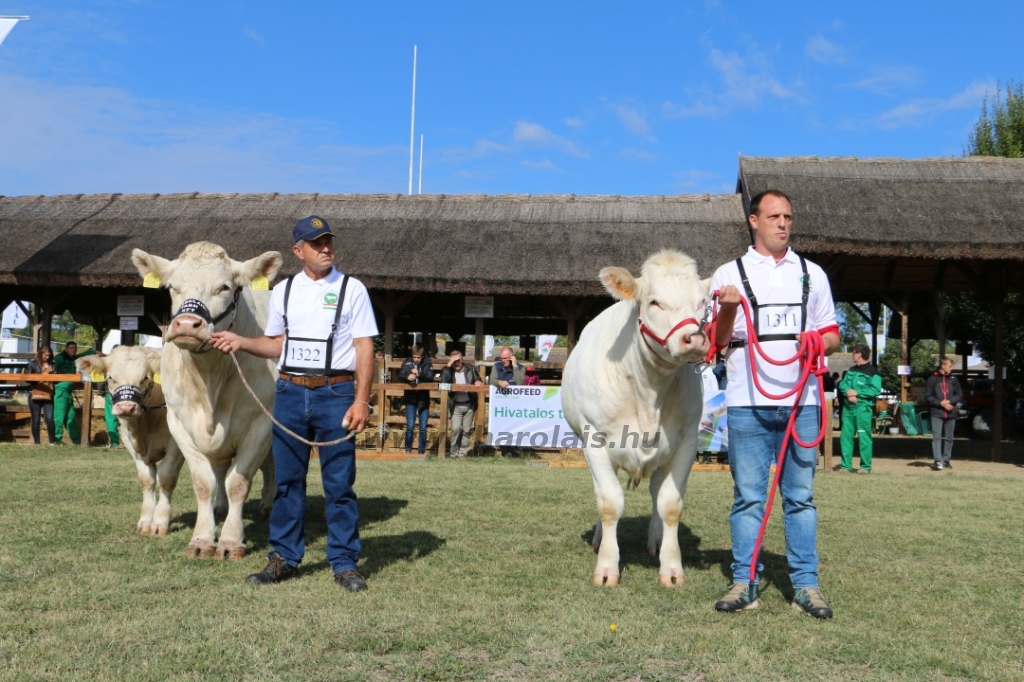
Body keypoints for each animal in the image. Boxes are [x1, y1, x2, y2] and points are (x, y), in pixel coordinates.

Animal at [76, 348, 185, 532]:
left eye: (145, 378)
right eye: (110, 377)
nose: (126, 407)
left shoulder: (177, 446)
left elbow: (166, 478)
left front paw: (160, 522)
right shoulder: (132, 447)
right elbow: (147, 480)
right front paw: (146, 521)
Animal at [134, 241, 284, 557]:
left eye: (224, 287)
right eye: (172, 287)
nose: (186, 324)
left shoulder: (260, 424)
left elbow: (239, 482)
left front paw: (230, 540)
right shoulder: (180, 425)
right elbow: (204, 483)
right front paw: (203, 538)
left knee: (273, 467)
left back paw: (268, 506)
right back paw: (221, 508)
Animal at [561, 248, 712, 585]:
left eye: (702, 303)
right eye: (654, 302)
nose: (695, 339)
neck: (648, 395)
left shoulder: (686, 442)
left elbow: (670, 504)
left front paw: (672, 568)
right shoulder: (595, 441)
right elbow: (608, 503)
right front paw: (606, 567)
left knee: (656, 492)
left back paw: (655, 541)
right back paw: (599, 539)